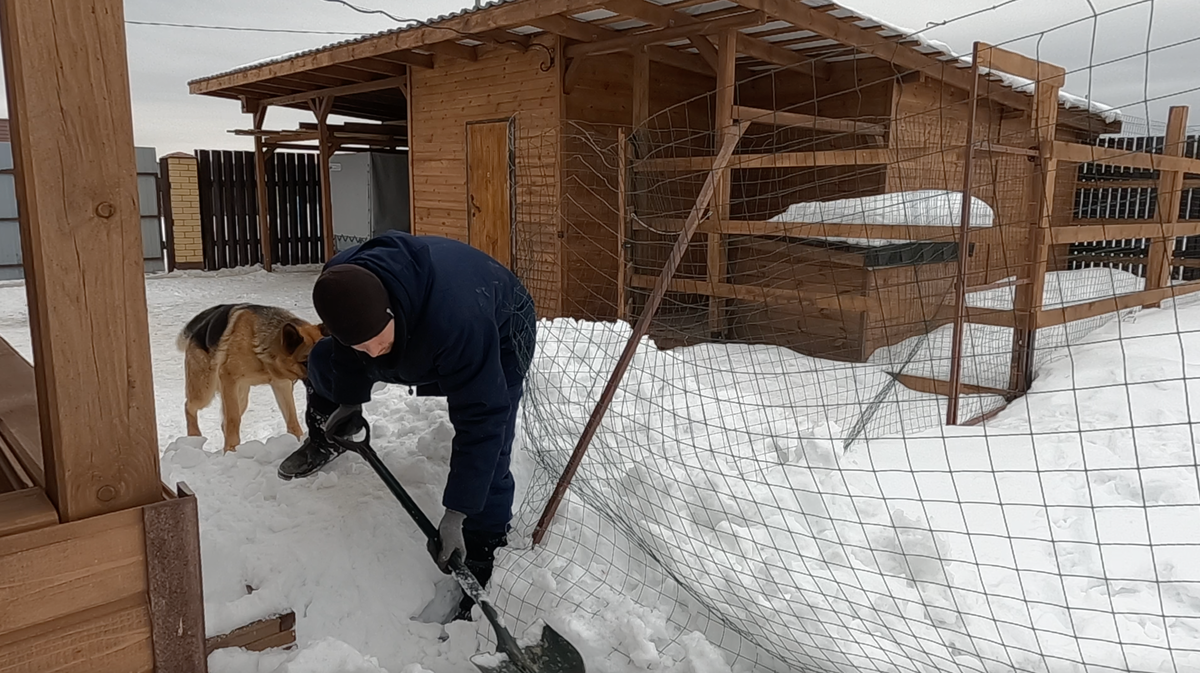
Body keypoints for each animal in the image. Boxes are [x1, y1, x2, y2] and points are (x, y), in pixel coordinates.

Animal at [175, 304, 326, 451]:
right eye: (306, 363)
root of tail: (198, 330)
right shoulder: (228, 379)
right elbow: (233, 420)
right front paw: (230, 450)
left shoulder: (282, 385)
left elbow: (292, 419)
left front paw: (298, 440)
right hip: (204, 392)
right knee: (189, 406)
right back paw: (194, 437)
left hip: (241, 397)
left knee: (222, 422)